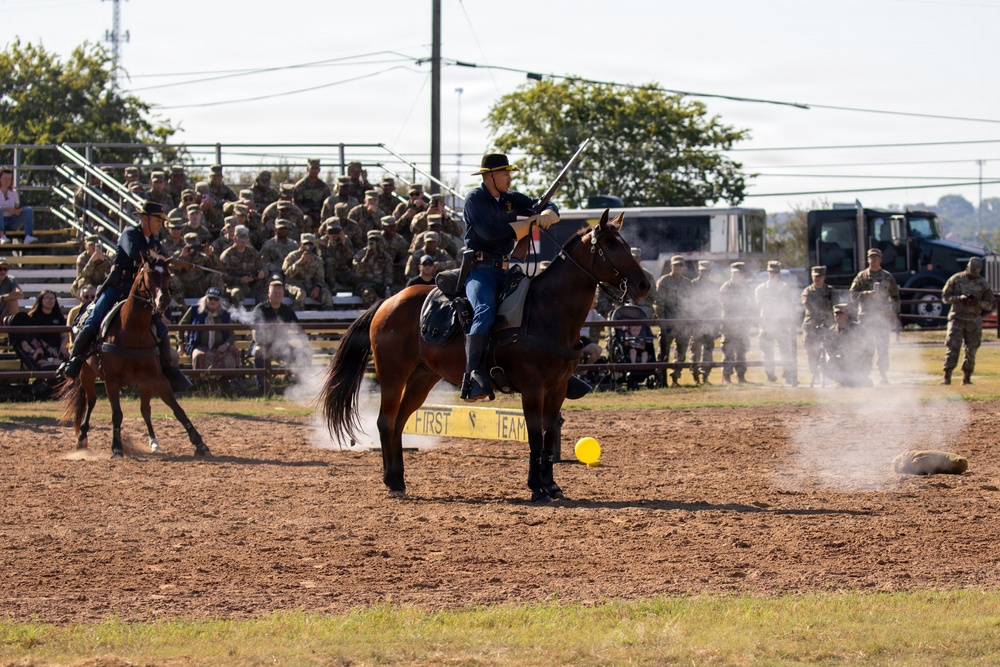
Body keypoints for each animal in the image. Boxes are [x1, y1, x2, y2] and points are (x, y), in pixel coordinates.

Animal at [59, 258, 209, 458]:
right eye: (149, 274)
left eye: (167, 274)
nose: (163, 300)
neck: (132, 329)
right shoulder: (111, 380)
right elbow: (117, 414)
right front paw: (116, 447)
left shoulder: (156, 378)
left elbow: (177, 409)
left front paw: (199, 443)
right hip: (86, 372)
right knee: (91, 401)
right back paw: (82, 438)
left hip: (143, 382)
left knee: (145, 410)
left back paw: (154, 442)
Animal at [320, 210, 650, 501]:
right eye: (611, 245)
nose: (643, 284)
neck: (545, 309)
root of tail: (387, 302)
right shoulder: (532, 389)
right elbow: (534, 435)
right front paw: (536, 488)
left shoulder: (556, 390)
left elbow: (546, 436)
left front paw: (552, 486)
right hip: (392, 374)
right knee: (385, 422)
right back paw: (390, 481)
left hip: (422, 378)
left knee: (400, 422)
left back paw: (399, 480)